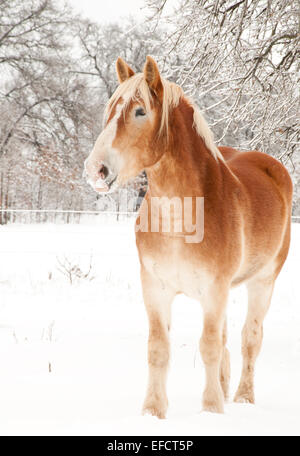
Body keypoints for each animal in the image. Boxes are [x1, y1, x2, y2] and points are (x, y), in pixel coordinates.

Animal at [84, 55, 292, 418]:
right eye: (110, 110)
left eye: (140, 111)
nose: (95, 169)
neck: (180, 219)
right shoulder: (155, 289)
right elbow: (158, 348)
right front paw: (153, 411)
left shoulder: (214, 290)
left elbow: (209, 346)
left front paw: (211, 410)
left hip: (263, 281)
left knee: (250, 339)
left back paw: (242, 398)